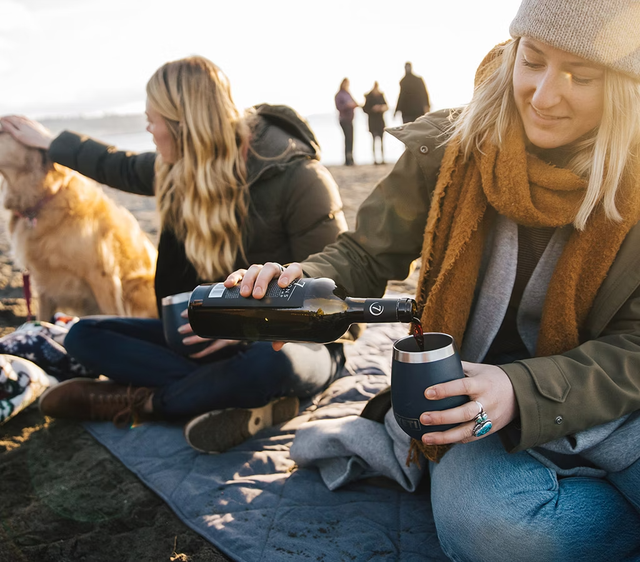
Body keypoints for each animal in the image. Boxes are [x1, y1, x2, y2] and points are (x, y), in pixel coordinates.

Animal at [0, 129, 158, 318]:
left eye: (2, 131)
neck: (41, 203)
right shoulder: (43, 286)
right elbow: (42, 317)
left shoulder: (103, 276)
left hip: (137, 288)